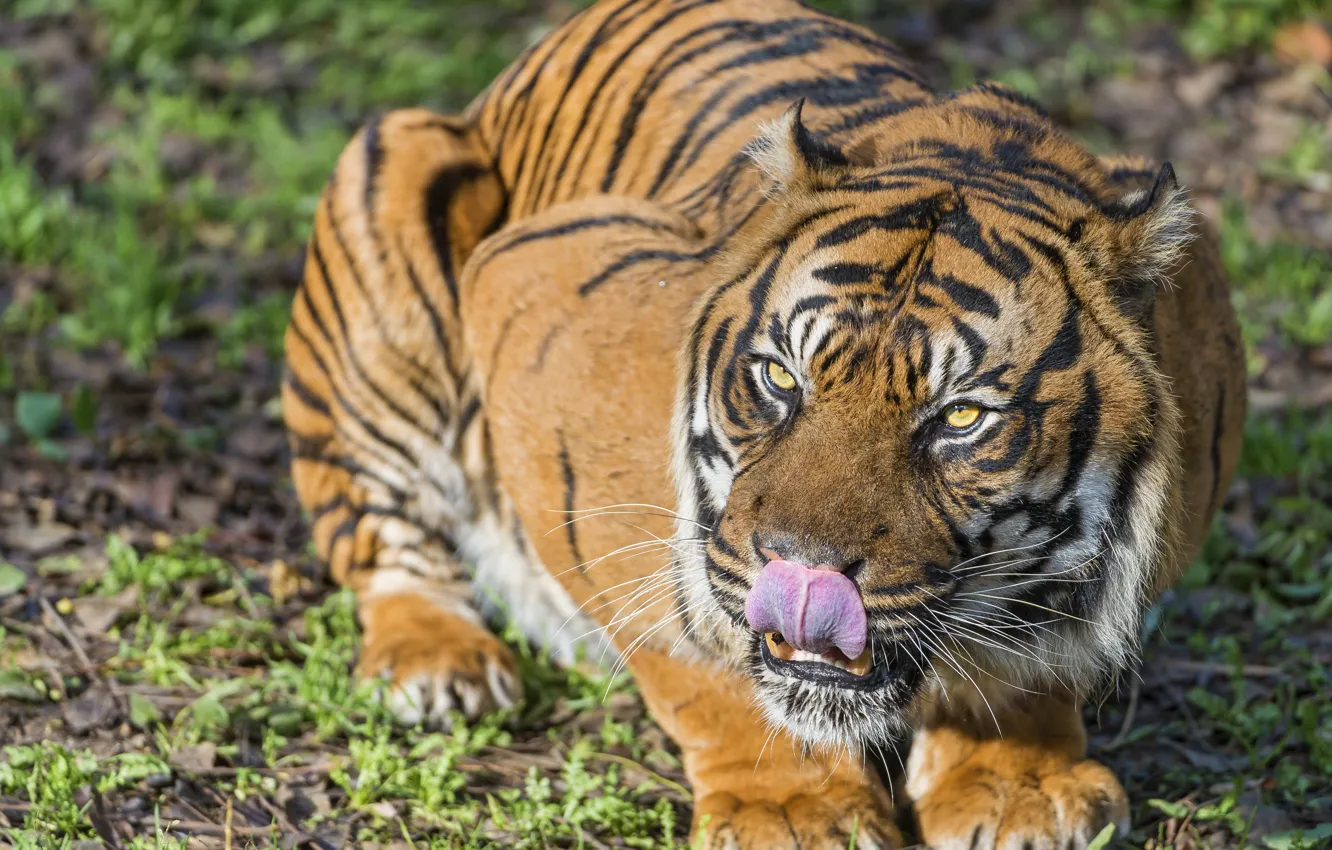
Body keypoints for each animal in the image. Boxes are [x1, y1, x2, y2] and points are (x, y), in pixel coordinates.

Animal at [281, 0, 1247, 846]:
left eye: (962, 417)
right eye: (782, 378)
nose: (805, 571)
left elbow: (1029, 659)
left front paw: (1018, 788)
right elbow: (703, 655)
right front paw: (794, 809)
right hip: (390, 201)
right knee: (378, 532)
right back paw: (439, 663)